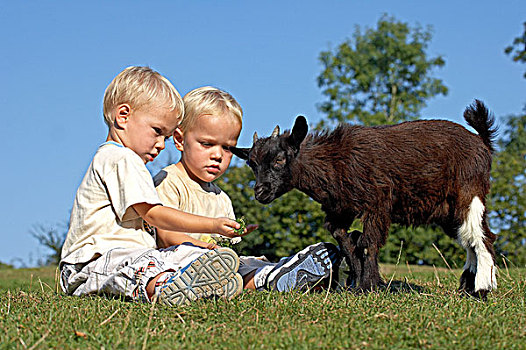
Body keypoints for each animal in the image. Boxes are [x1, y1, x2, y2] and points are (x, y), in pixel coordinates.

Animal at [233, 99, 502, 298]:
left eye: (279, 159)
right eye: (252, 164)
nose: (260, 192)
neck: (335, 162)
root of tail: (481, 142)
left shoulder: (377, 203)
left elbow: (367, 242)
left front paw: (368, 286)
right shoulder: (340, 210)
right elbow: (347, 242)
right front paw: (356, 282)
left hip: (470, 193)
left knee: (483, 237)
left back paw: (481, 288)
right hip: (448, 210)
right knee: (468, 240)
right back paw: (467, 287)